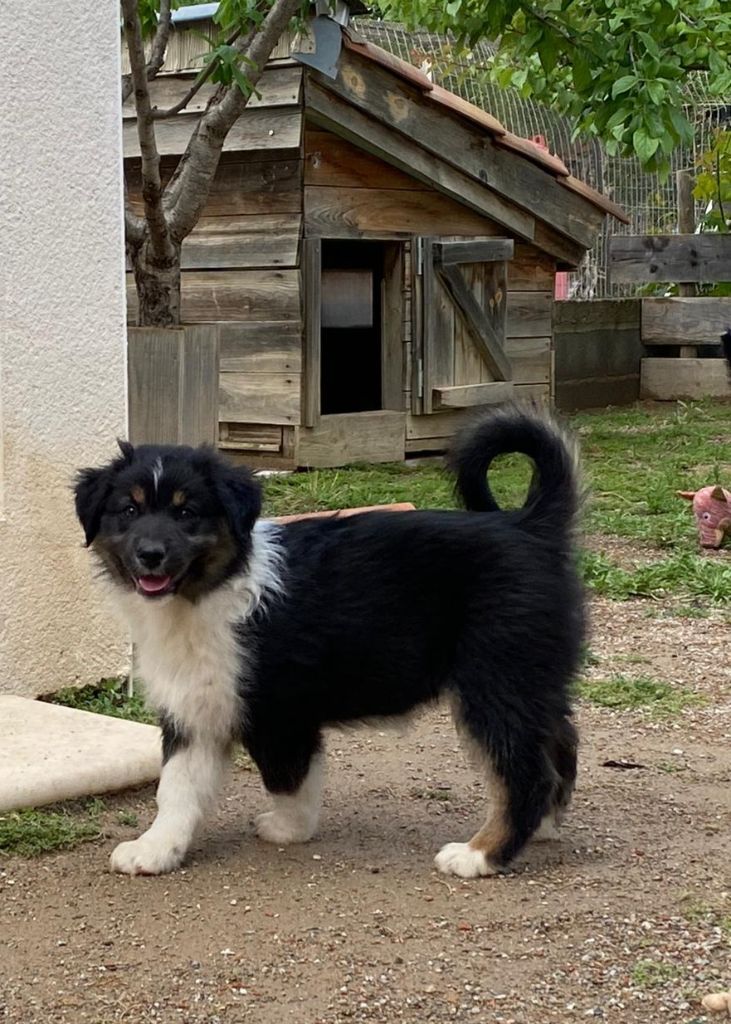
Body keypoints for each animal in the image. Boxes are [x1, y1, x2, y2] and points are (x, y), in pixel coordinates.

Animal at [74, 407, 584, 879]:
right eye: (129, 510)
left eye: (186, 513)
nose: (150, 555)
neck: (208, 593)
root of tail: (528, 525)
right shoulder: (196, 706)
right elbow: (177, 788)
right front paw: (155, 849)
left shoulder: (278, 712)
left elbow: (289, 779)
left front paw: (289, 829)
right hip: (531, 679)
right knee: (558, 746)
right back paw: (540, 827)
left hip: (494, 679)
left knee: (523, 772)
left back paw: (480, 854)